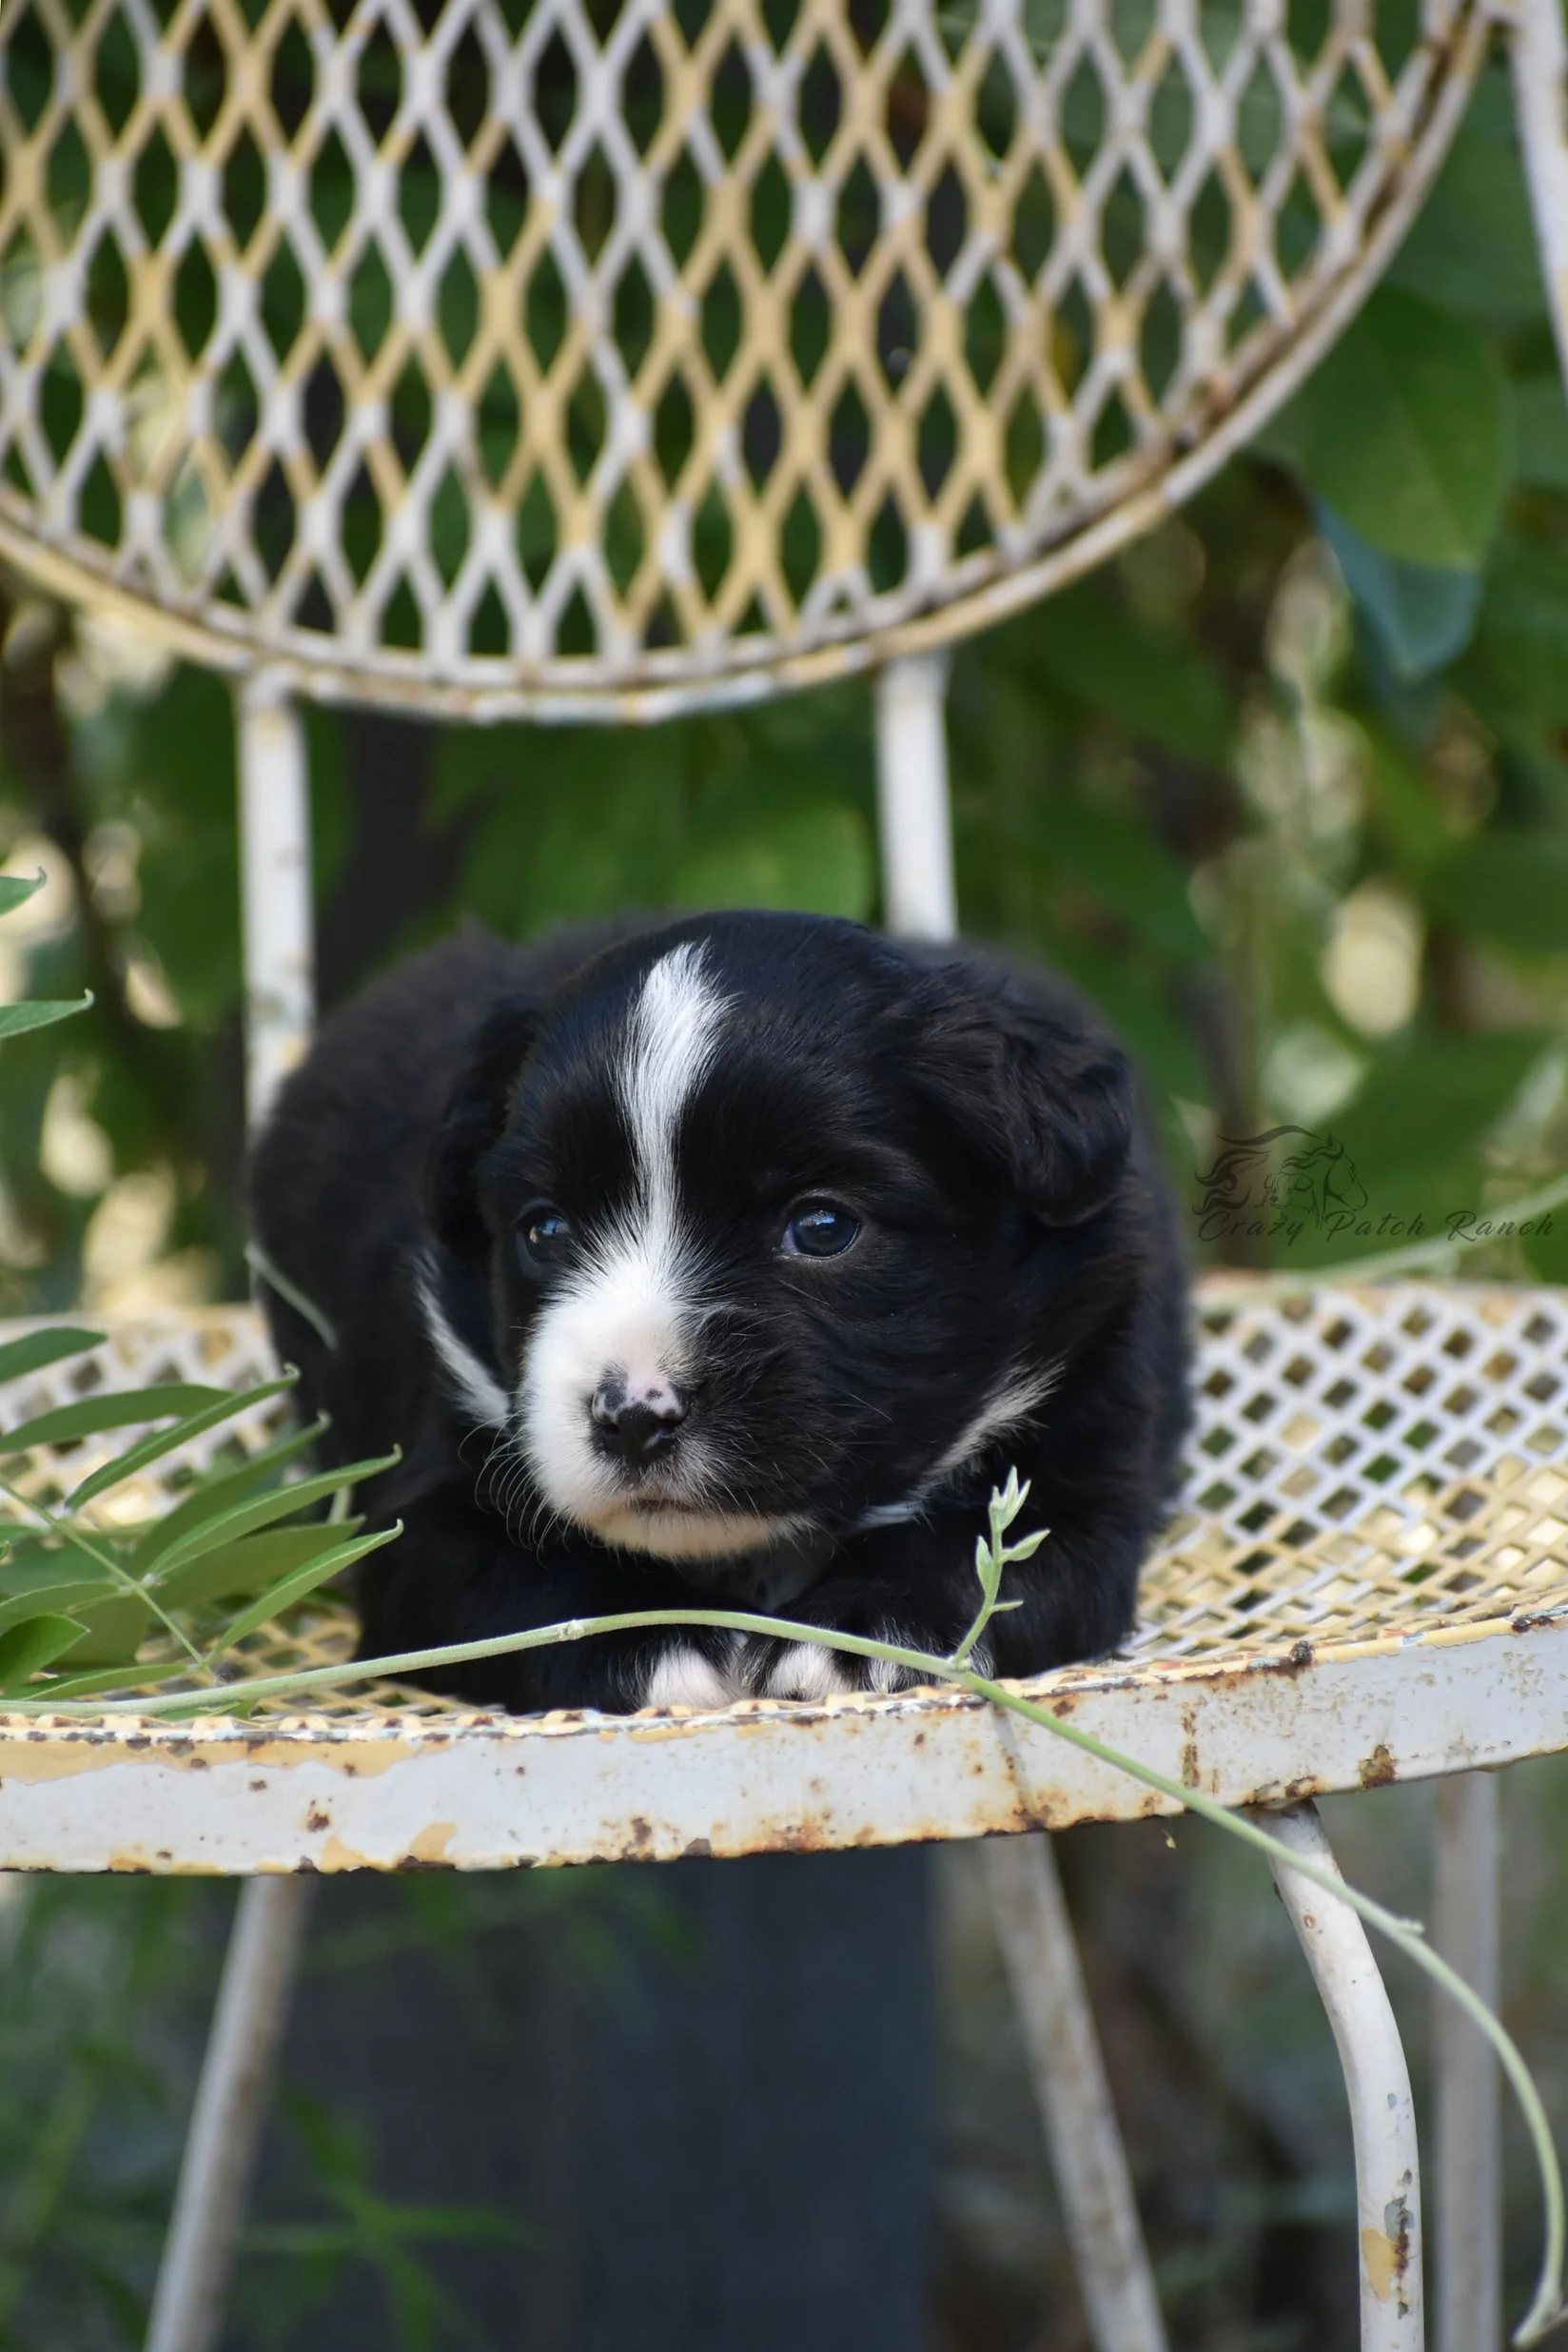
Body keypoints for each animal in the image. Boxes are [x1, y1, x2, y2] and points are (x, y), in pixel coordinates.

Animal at [248, 912, 1190, 1714]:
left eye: (822, 1226)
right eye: (544, 1229)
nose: (633, 1417)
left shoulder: (1083, 1480)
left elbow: (983, 1552)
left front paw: (853, 1632)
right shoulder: (424, 1514)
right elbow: (522, 1577)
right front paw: (663, 1632)